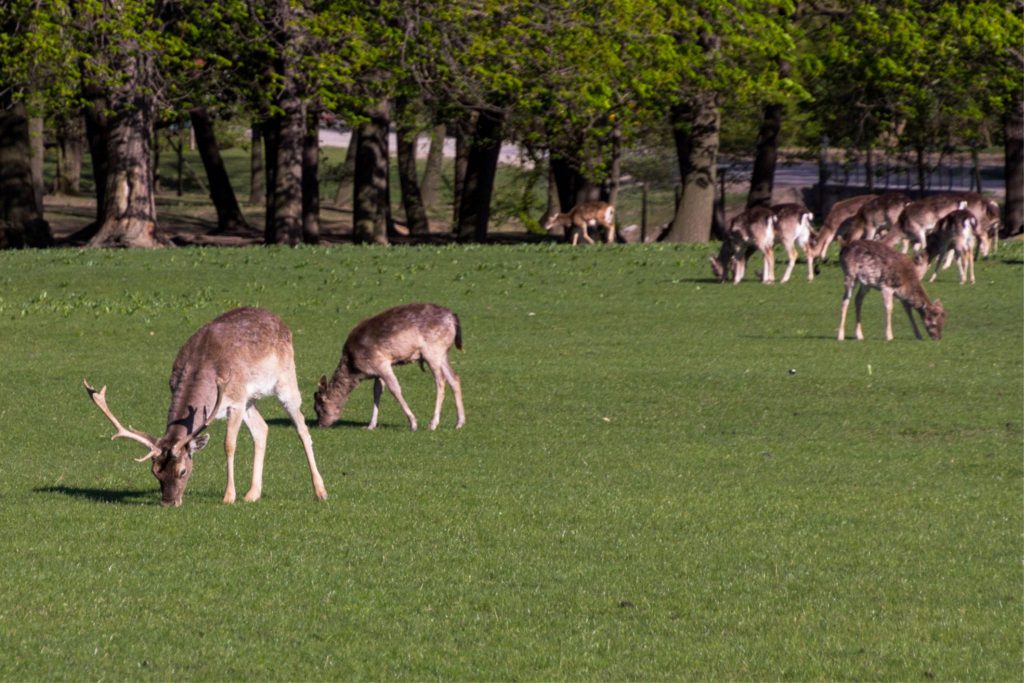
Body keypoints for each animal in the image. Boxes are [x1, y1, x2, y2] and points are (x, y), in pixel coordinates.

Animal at [88, 307, 329, 505]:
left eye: (183, 471)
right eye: (155, 472)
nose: (168, 502)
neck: (204, 364)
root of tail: (280, 320)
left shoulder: (235, 401)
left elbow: (229, 444)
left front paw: (229, 496)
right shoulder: (239, 400)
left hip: (285, 380)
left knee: (302, 428)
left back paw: (320, 491)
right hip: (250, 399)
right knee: (262, 428)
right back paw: (253, 494)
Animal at [313, 305, 466, 432]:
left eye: (319, 408)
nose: (321, 424)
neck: (356, 368)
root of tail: (453, 317)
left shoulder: (382, 363)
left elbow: (395, 389)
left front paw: (413, 424)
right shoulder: (376, 371)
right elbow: (377, 391)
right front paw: (370, 425)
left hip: (432, 352)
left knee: (441, 381)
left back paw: (433, 424)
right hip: (443, 354)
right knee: (454, 378)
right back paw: (459, 422)